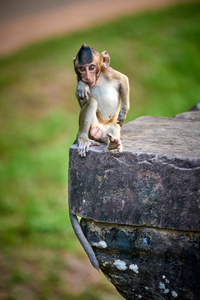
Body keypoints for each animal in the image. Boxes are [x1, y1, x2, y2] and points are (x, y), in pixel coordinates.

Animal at [69, 44, 130, 270]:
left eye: (92, 67)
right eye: (82, 69)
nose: (86, 77)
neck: (99, 78)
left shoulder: (110, 72)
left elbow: (124, 80)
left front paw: (124, 110)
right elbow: (84, 98)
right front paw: (81, 86)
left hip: (110, 127)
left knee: (114, 128)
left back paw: (111, 143)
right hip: (91, 126)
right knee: (92, 102)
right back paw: (84, 138)